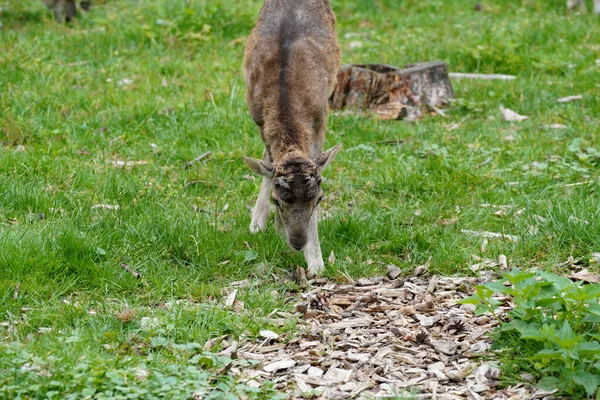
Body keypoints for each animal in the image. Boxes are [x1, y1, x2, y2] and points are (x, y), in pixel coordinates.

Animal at [241, 0, 340, 276]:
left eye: (318, 198)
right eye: (278, 200)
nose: (297, 242)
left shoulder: (321, 118)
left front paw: (316, 263)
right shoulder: (259, 119)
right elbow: (267, 164)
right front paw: (269, 226)